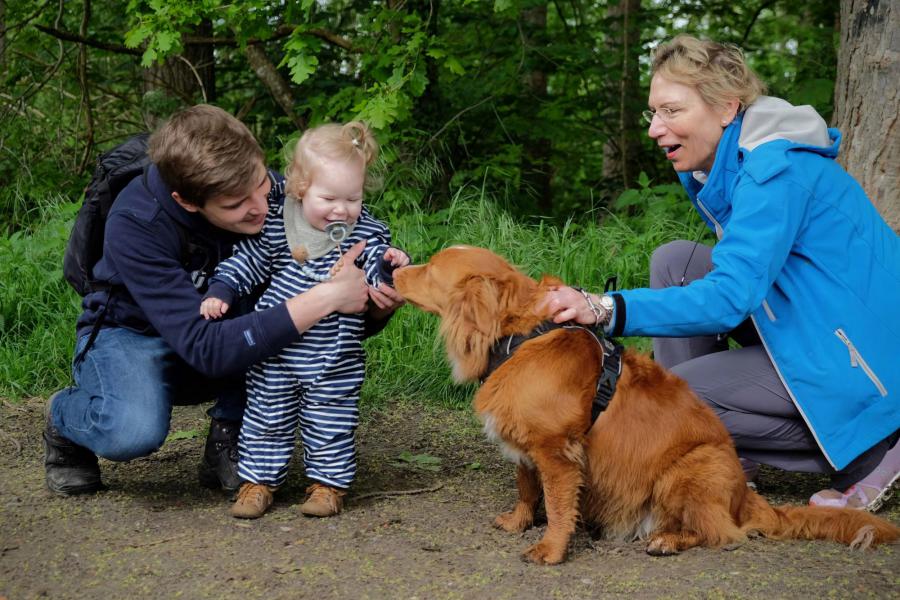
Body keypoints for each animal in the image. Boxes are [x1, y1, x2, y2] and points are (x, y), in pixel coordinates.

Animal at [396, 244, 900, 564]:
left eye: (429, 269)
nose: (393, 265)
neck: (521, 335)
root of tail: (744, 497)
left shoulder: (557, 451)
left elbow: (557, 505)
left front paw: (551, 549)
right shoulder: (527, 448)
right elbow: (526, 488)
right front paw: (519, 521)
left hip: (687, 470)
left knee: (722, 532)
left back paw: (668, 540)